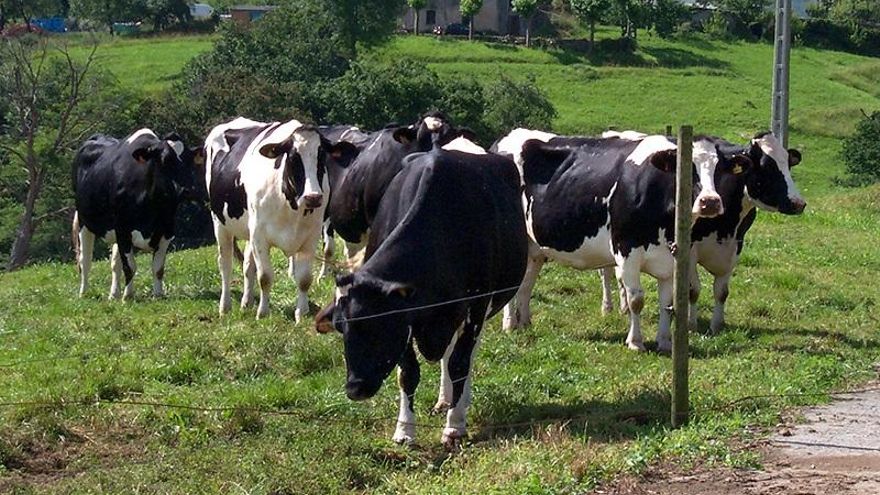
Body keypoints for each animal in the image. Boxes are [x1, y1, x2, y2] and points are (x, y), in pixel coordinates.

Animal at [72, 129, 203, 300]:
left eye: (189, 161)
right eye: (165, 160)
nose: (188, 190)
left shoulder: (167, 231)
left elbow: (158, 268)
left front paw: (158, 294)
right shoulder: (123, 230)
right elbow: (130, 266)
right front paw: (128, 296)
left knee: (114, 263)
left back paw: (113, 294)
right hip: (84, 221)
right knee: (85, 260)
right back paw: (84, 292)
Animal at [205, 117, 357, 321]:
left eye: (321, 157)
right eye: (293, 158)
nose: (313, 197)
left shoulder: (311, 236)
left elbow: (304, 279)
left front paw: (301, 313)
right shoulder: (260, 235)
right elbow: (265, 277)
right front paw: (263, 313)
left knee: (247, 265)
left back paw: (246, 302)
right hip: (220, 223)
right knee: (225, 264)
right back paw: (225, 306)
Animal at [316, 146, 527, 449]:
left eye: (381, 326)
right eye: (340, 328)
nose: (355, 388)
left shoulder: (474, 309)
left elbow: (460, 364)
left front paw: (454, 427)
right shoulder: (409, 319)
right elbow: (408, 373)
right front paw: (405, 430)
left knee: (464, 357)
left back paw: (459, 402)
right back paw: (444, 399)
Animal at [493, 129, 737, 352]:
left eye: (719, 169)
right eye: (687, 168)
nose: (710, 202)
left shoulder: (669, 259)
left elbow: (666, 303)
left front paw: (665, 341)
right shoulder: (626, 251)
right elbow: (636, 300)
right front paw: (636, 342)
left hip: (535, 248)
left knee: (526, 282)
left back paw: (524, 322)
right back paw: (510, 324)